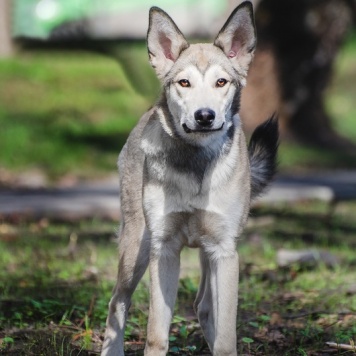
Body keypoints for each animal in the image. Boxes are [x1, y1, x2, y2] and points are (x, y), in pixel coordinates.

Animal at [101, 1, 280, 354]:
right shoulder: (164, 249)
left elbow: (226, 336)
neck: (196, 163)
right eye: (184, 83)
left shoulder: (225, 252)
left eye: (221, 82)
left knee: (204, 306)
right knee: (118, 301)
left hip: (211, 254)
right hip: (136, 247)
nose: (205, 116)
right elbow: (156, 334)